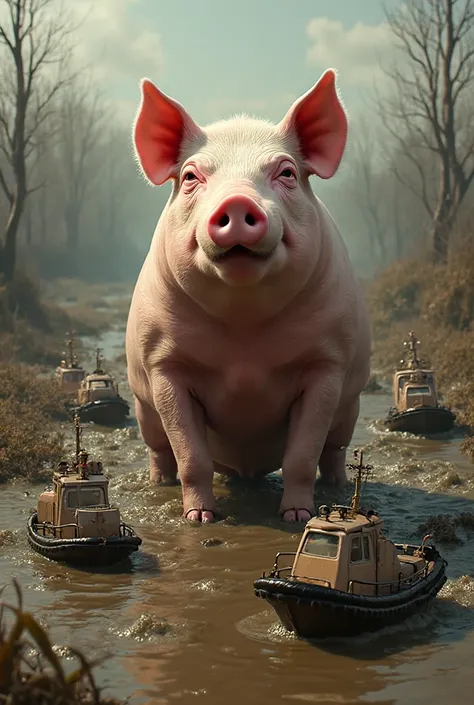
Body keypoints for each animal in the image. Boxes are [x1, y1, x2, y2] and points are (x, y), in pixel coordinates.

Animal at [126, 69, 371, 524]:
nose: (238, 200)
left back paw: (336, 486)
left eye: (287, 173)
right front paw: (200, 519)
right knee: (160, 450)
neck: (245, 338)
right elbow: (192, 457)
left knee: (333, 450)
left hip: (350, 410)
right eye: (191, 177)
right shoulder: (163, 362)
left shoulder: (328, 362)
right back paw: (158, 484)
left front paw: (297, 517)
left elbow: (301, 455)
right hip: (143, 409)